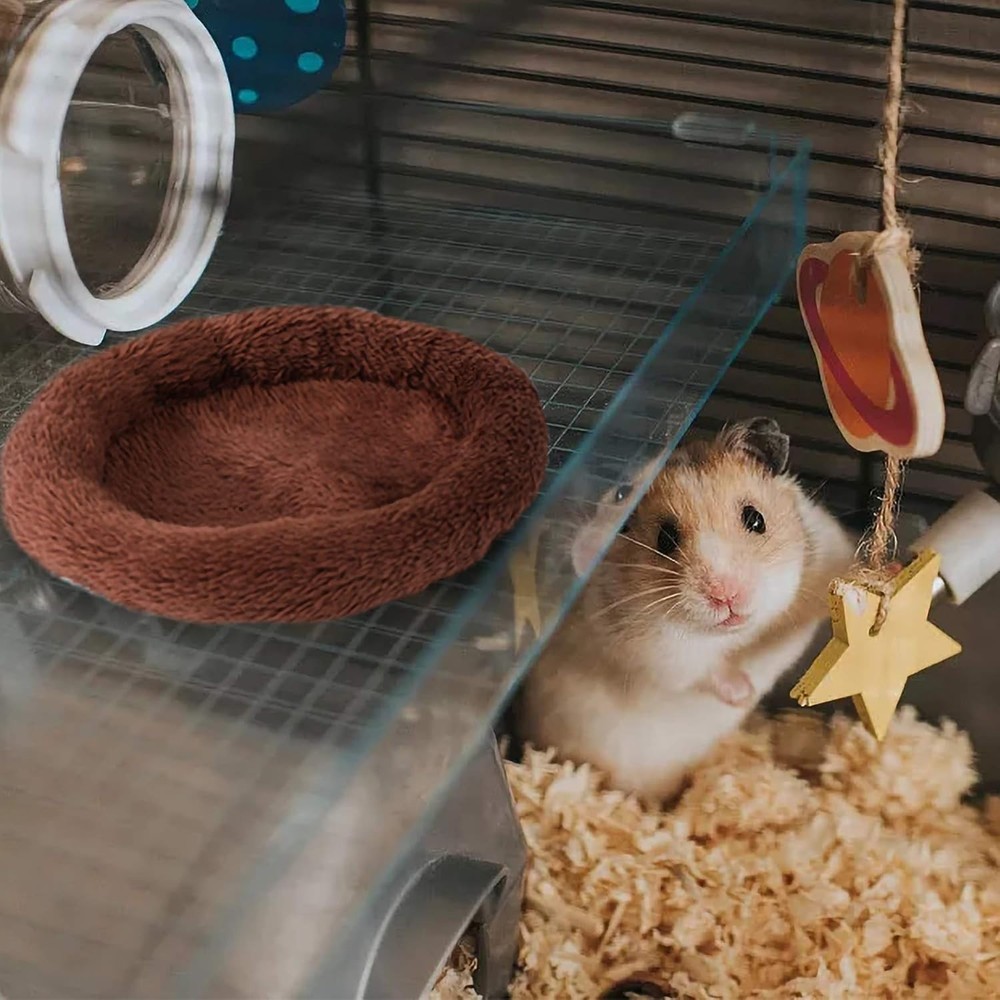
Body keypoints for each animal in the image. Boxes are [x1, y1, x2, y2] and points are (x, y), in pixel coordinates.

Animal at [514, 418, 855, 803]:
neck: (740, 634)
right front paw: (743, 694)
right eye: (665, 539)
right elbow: (705, 670)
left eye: (756, 519)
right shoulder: (661, 656)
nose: (727, 596)